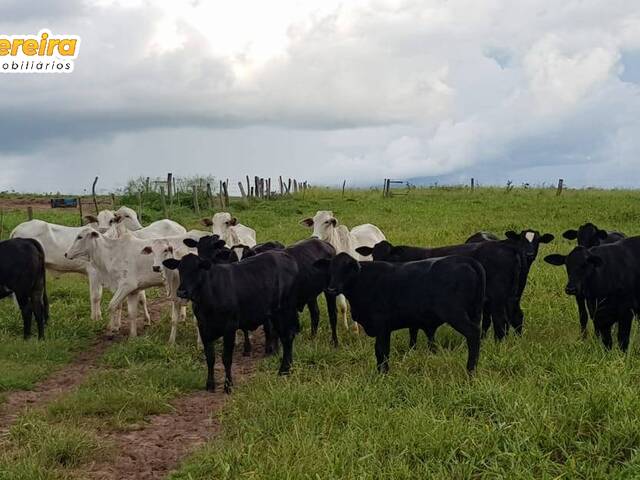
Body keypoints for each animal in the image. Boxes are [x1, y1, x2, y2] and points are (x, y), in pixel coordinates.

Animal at [162, 249, 298, 392]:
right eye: (180, 269)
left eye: (197, 269)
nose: (181, 292)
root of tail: (284, 255)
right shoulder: (203, 327)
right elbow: (210, 357)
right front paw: (210, 384)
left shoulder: (229, 327)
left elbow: (226, 358)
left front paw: (228, 385)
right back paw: (287, 368)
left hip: (285, 310)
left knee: (287, 338)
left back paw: (284, 370)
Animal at [312, 253, 482, 374]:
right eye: (331, 269)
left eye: (347, 270)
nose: (331, 289)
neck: (363, 281)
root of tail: (464, 260)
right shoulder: (384, 328)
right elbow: (381, 352)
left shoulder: (381, 325)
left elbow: (381, 350)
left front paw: (382, 374)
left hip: (455, 314)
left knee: (473, 334)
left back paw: (470, 371)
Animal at [352, 240, 524, 342]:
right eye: (373, 254)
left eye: (387, 254)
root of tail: (507, 248)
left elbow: (413, 328)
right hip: (511, 297)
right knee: (516, 316)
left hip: (497, 300)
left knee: (500, 322)